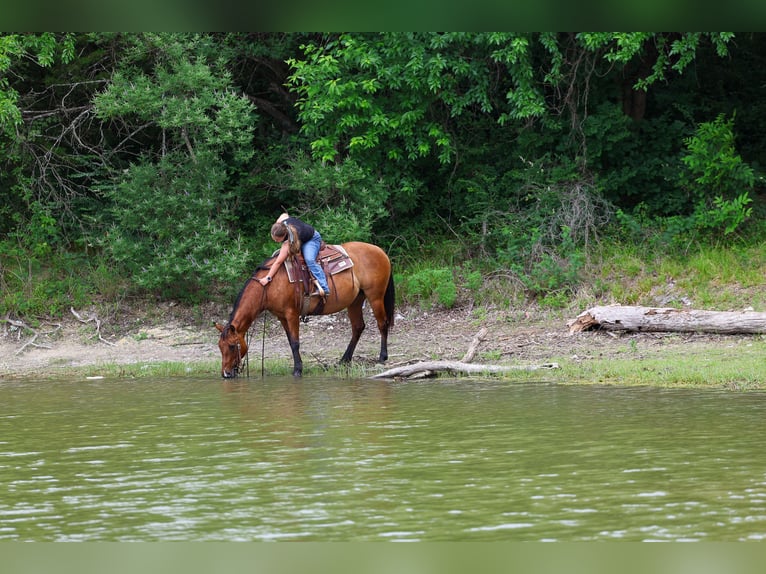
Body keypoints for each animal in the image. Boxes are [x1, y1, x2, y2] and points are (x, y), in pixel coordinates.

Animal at [215, 241, 395, 378]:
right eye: (220, 347)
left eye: (232, 346)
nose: (226, 374)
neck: (270, 285)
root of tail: (380, 251)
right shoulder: (282, 317)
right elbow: (290, 342)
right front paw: (297, 366)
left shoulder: (292, 314)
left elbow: (295, 343)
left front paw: (297, 370)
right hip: (355, 300)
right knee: (358, 327)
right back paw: (344, 359)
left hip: (375, 296)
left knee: (382, 324)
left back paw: (382, 356)